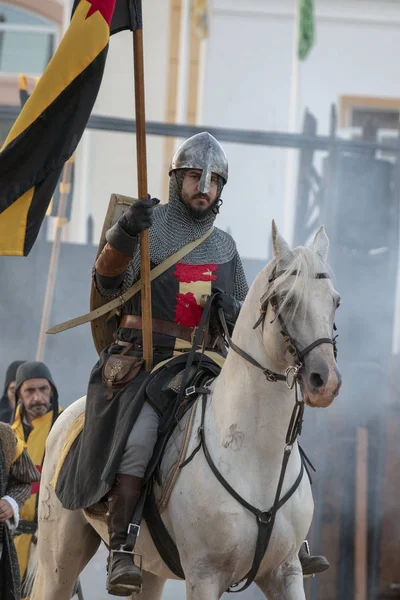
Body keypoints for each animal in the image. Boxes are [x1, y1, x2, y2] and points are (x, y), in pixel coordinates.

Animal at [32, 224, 342, 600]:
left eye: (334, 301)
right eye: (285, 299)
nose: (324, 381)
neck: (255, 456)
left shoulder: (285, 571)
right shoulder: (204, 575)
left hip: (151, 570)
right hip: (60, 560)